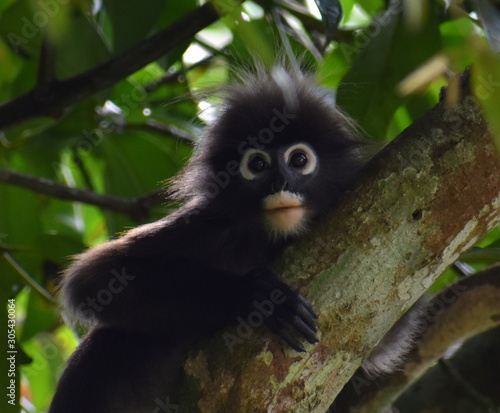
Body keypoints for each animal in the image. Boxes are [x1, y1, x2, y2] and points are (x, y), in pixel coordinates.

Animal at [47, 66, 368, 410]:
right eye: (258, 164)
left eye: (299, 160)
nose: (280, 183)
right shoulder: (206, 223)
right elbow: (94, 278)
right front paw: (254, 296)